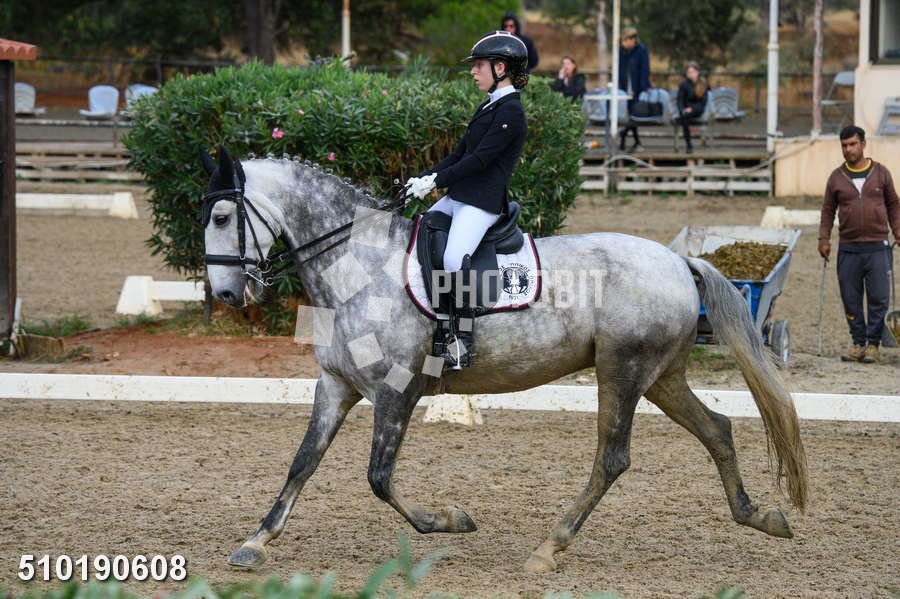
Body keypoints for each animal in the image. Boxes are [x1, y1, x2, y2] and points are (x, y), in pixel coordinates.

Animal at [200, 148, 808, 572]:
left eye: (224, 216)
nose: (227, 294)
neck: (358, 267)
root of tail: (679, 261)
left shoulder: (397, 392)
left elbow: (379, 478)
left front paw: (449, 520)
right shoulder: (334, 385)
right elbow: (302, 462)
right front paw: (255, 542)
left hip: (623, 371)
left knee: (612, 459)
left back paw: (548, 548)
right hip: (661, 376)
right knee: (718, 429)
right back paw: (761, 516)